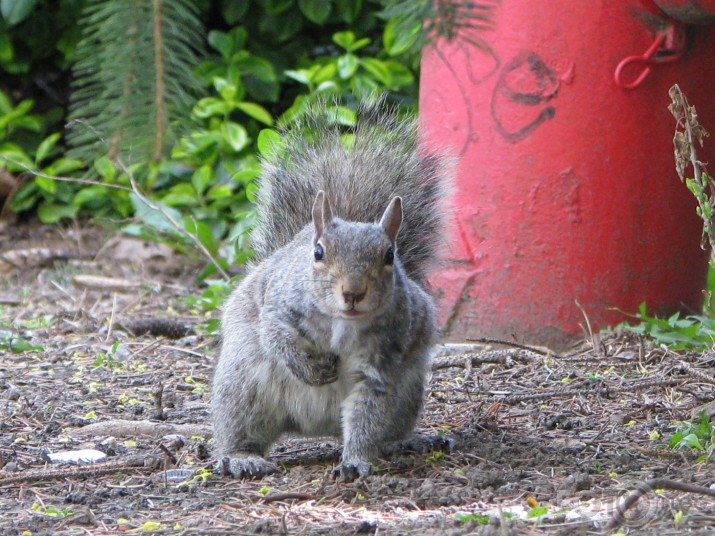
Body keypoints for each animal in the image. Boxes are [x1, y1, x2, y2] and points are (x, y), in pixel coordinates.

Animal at [210, 97, 450, 482]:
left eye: (390, 256)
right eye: (318, 253)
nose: (353, 292)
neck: (343, 322)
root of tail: (314, 428)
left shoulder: (383, 361)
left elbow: (368, 413)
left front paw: (355, 461)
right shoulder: (278, 305)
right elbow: (277, 334)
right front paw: (311, 370)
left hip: (406, 392)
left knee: (380, 427)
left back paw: (401, 443)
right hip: (243, 385)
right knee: (240, 427)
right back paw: (241, 457)